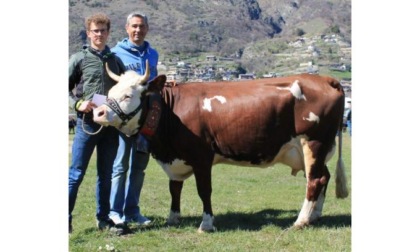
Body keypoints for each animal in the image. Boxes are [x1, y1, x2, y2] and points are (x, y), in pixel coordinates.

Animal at [93, 62, 350, 232]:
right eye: (110, 92)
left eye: (128, 95)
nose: (98, 112)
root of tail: (324, 79)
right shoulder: (175, 158)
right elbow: (174, 188)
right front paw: (173, 218)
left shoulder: (202, 157)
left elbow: (204, 191)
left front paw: (206, 223)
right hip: (314, 150)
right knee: (323, 178)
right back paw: (315, 217)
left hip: (314, 143)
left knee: (314, 181)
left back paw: (300, 221)